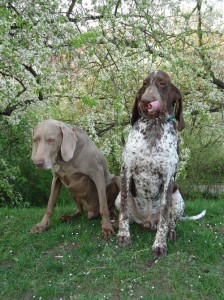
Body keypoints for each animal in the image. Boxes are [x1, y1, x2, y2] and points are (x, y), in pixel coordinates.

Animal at [116, 70, 206, 258]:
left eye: (163, 83)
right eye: (144, 84)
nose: (145, 101)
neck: (154, 125)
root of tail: (147, 222)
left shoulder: (167, 179)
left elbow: (165, 215)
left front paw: (159, 244)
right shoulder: (126, 171)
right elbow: (123, 212)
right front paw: (123, 235)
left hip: (177, 197)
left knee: (172, 221)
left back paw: (170, 232)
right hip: (118, 197)